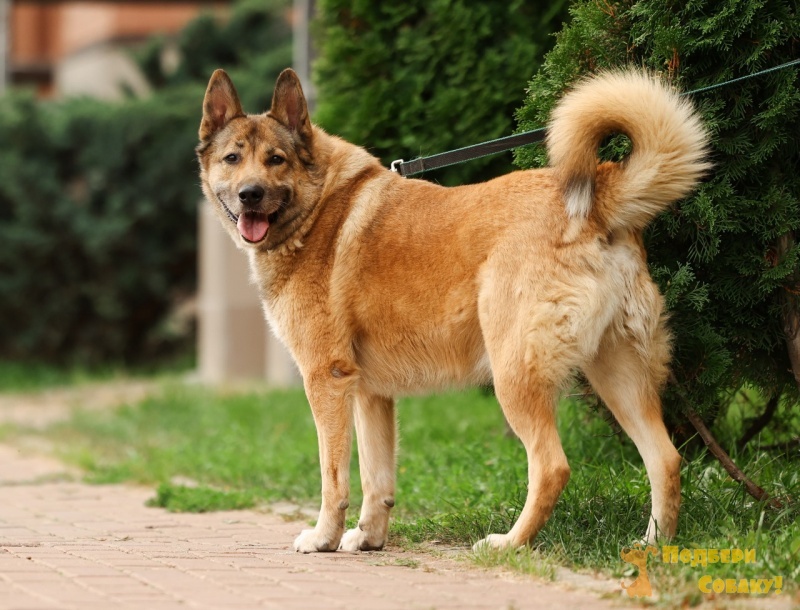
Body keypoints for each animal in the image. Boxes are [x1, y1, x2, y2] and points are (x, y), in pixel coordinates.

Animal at [197, 67, 709, 553]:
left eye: (275, 160)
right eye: (232, 159)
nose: (249, 194)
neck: (319, 204)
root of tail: (597, 201)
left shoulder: (327, 381)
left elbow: (333, 477)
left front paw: (323, 537)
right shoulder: (370, 394)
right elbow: (377, 479)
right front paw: (368, 538)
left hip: (516, 377)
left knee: (552, 467)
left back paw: (509, 544)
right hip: (617, 374)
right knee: (665, 459)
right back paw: (653, 546)